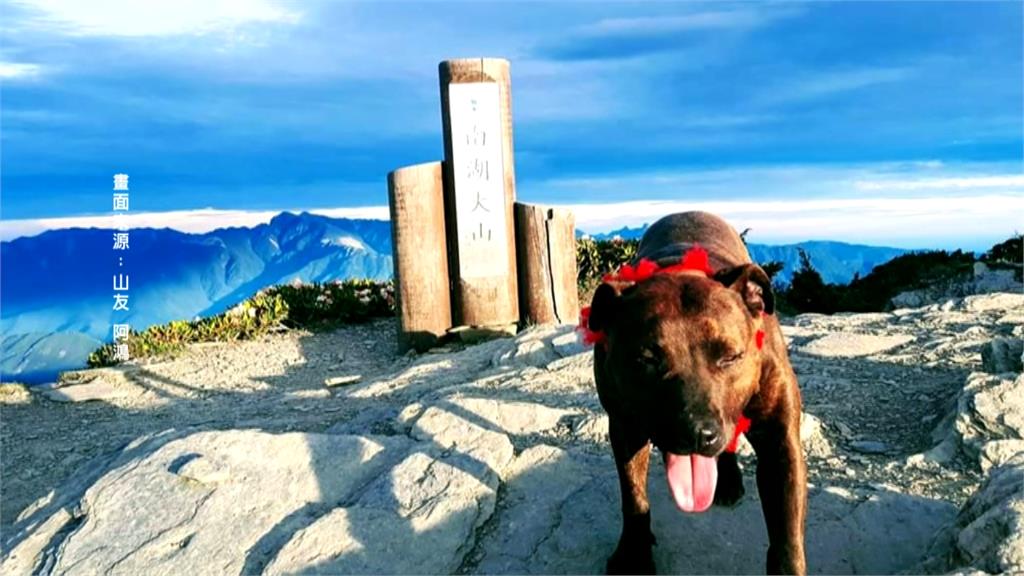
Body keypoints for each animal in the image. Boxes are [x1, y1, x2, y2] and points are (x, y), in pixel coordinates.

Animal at [589, 211, 802, 573]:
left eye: (730, 356)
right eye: (645, 359)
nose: (697, 433)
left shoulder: (780, 441)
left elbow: (786, 536)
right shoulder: (625, 426)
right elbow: (633, 495)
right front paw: (633, 554)